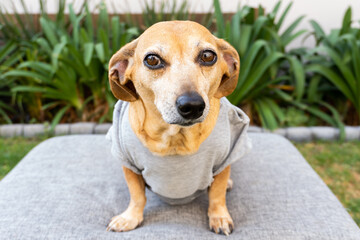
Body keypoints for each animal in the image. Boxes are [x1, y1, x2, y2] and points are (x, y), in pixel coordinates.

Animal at [105, 21, 249, 236]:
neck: (174, 139)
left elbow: (217, 194)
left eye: (208, 56)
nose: (193, 105)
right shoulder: (128, 164)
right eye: (152, 59)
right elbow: (137, 195)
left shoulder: (225, 158)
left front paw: (219, 217)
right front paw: (130, 217)